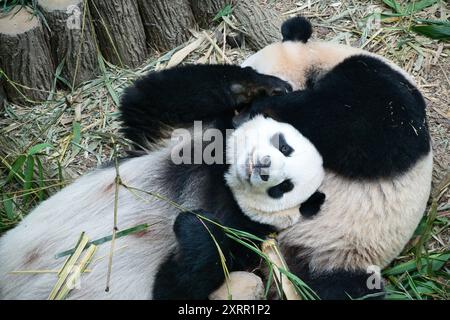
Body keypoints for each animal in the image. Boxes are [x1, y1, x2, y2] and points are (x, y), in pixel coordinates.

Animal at [0, 63, 326, 298]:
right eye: (284, 145)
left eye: (285, 187)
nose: (262, 168)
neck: (221, 179)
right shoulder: (183, 138)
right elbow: (148, 97)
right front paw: (266, 87)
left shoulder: (241, 233)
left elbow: (177, 285)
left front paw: (197, 225)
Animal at [218, 16, 432, 298]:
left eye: (248, 97)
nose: (235, 120)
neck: (319, 59)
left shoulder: (378, 83)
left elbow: (370, 133)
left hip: (348, 253)